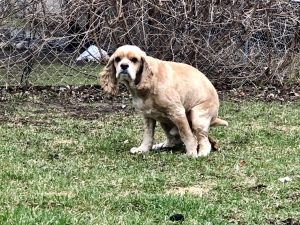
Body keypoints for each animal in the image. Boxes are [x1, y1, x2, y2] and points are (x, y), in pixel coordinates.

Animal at [99, 44, 227, 157]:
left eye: (134, 59)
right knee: (173, 139)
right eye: (117, 59)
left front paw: (191, 152)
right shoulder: (148, 115)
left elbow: (187, 134)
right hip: (163, 119)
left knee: (203, 140)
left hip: (197, 116)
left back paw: (202, 153)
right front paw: (143, 149)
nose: (124, 66)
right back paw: (161, 146)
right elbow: (148, 135)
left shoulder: (177, 112)